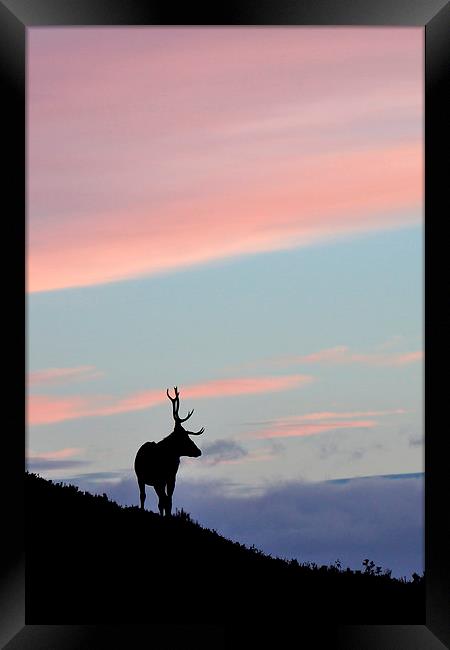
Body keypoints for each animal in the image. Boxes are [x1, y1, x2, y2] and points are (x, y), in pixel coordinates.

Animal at [134, 384, 204, 516]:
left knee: (160, 500)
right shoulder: (159, 479)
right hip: (141, 478)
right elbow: (164, 500)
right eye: (184, 437)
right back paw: (142, 509)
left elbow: (169, 501)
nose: (198, 451)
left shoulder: (171, 479)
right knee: (143, 496)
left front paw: (168, 515)